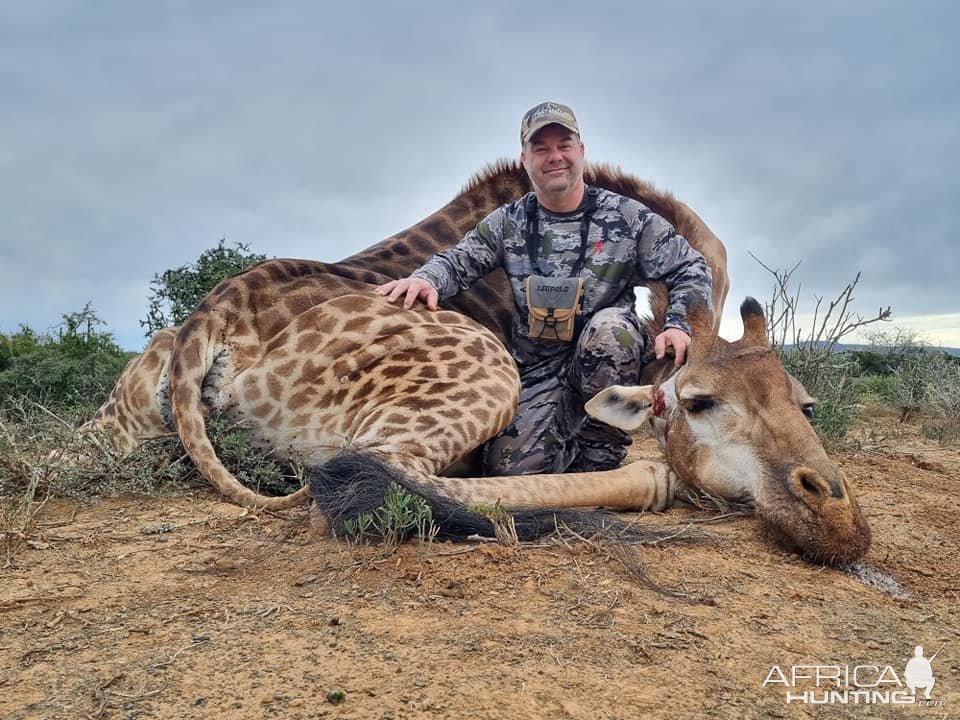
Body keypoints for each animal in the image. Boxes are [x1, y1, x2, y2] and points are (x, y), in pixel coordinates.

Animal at [75, 160, 872, 564]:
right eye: (701, 401)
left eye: (806, 404)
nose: (839, 522)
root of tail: (213, 317)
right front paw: (659, 477)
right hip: (479, 376)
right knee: (379, 476)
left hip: (119, 421)